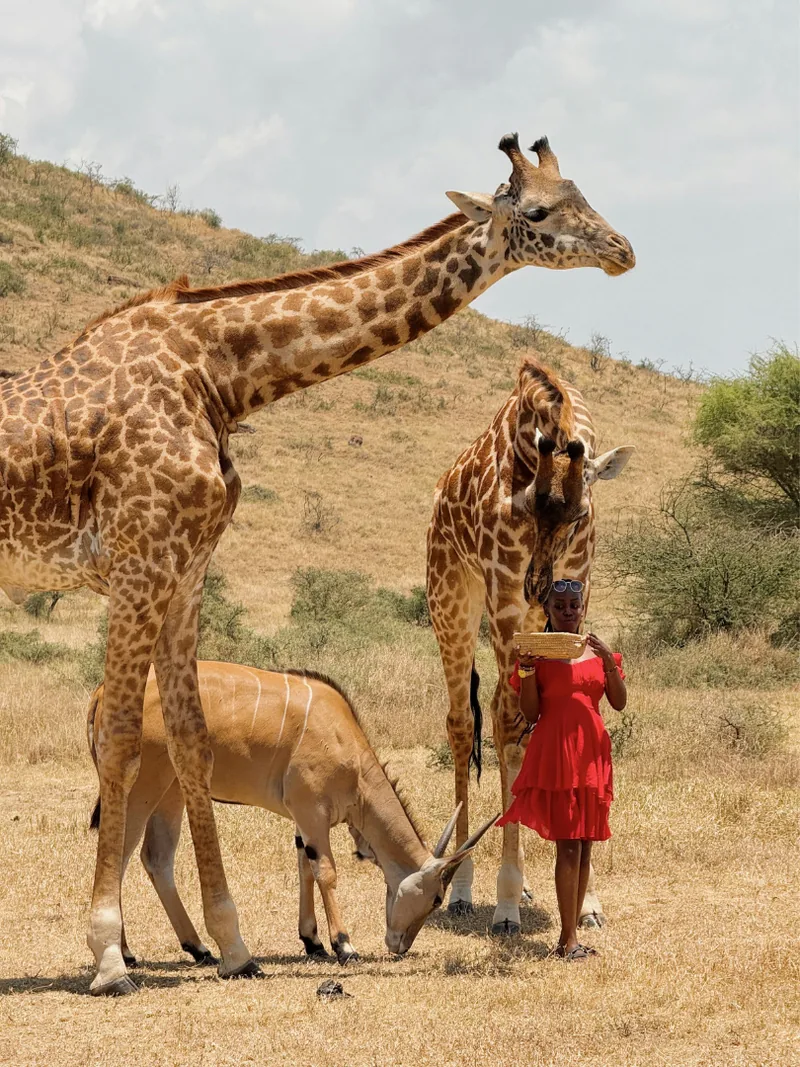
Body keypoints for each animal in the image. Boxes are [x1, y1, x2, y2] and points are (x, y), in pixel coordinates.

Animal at [426, 356, 634, 933]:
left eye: (580, 515)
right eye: (528, 507)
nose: (539, 584)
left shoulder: (578, 582)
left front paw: (587, 901)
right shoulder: (505, 603)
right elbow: (509, 725)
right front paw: (505, 903)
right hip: (452, 601)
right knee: (467, 722)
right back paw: (462, 887)